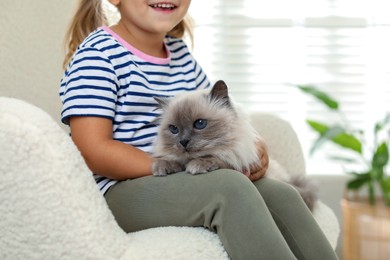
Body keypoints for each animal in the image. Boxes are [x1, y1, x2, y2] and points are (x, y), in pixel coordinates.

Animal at [152, 80, 316, 210]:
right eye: (174, 129)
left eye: (200, 123)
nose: (183, 141)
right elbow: (170, 160)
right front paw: (162, 167)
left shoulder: (236, 157)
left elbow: (215, 158)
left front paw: (196, 165)